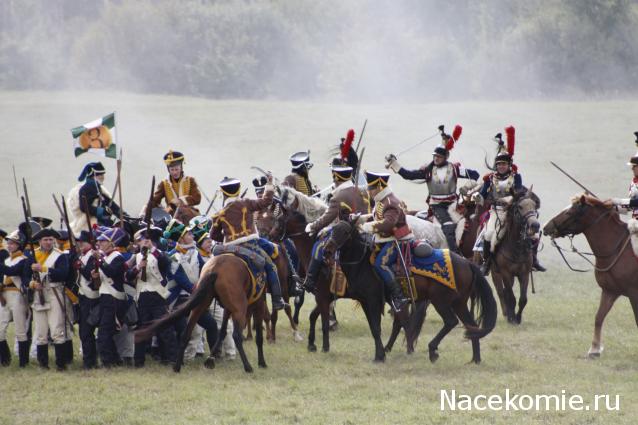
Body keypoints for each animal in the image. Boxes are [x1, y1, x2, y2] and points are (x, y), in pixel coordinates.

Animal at [324, 220, 500, 362]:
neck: (363, 264)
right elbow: (376, 328)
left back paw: (432, 350)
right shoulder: (365, 302)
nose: (327, 251)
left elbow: (376, 328)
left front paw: (380, 356)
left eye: (345, 232)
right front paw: (381, 354)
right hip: (459, 303)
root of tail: (467, 263)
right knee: (472, 326)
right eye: (333, 230)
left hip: (440, 301)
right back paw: (475, 359)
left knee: (451, 321)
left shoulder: (373, 301)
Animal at [544, 195, 638, 358]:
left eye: (569, 213)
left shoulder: (634, 294)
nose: (545, 227)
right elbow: (598, 318)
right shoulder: (610, 291)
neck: (618, 249)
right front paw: (594, 349)